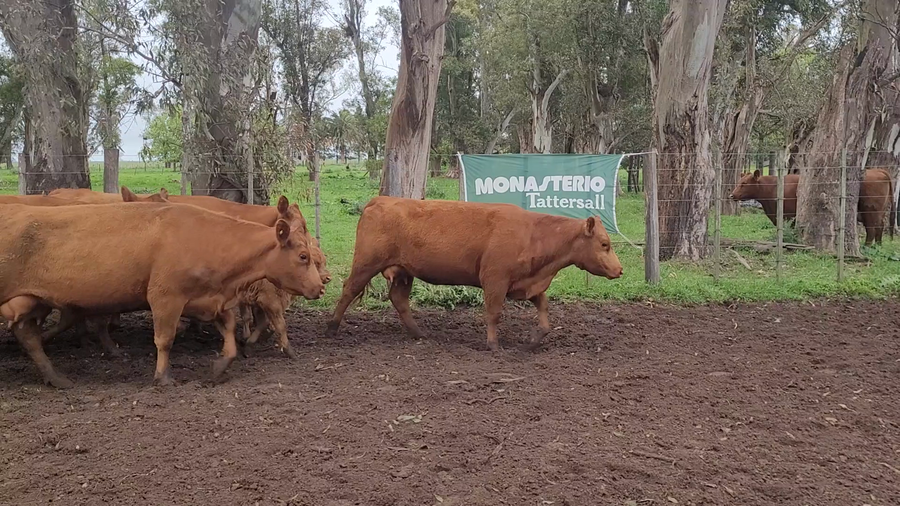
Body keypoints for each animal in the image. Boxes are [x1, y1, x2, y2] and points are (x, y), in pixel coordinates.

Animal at [0, 200, 324, 388]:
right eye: (303, 256)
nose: (320, 287)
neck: (208, 238)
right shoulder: (166, 299)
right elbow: (165, 339)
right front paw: (162, 377)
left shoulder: (211, 301)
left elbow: (230, 335)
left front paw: (218, 367)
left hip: (31, 302)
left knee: (29, 336)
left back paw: (57, 378)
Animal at [325, 196, 623, 352]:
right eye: (604, 244)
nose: (619, 270)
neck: (533, 234)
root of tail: (380, 200)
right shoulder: (495, 280)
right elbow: (494, 313)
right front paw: (493, 344)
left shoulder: (526, 283)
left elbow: (544, 309)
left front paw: (535, 339)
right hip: (366, 264)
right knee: (348, 290)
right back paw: (332, 327)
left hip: (404, 272)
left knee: (399, 300)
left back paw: (419, 334)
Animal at [730, 169, 897, 246]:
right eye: (739, 182)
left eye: (744, 183)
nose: (732, 195)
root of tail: (877, 170)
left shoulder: (789, 216)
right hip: (879, 211)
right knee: (880, 227)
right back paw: (878, 246)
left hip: (870, 211)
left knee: (872, 229)